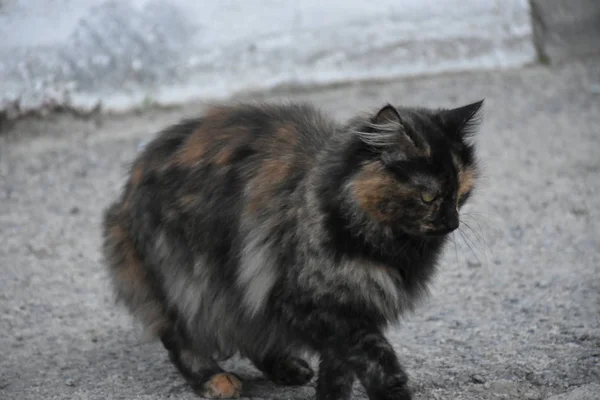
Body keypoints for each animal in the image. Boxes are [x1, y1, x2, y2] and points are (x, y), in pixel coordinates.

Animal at [102, 97, 482, 400]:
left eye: (462, 193)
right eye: (428, 197)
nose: (452, 223)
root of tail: (125, 193)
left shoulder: (351, 306)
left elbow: (339, 368)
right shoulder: (312, 304)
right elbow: (375, 357)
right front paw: (392, 391)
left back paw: (285, 367)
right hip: (190, 279)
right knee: (182, 336)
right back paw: (214, 380)